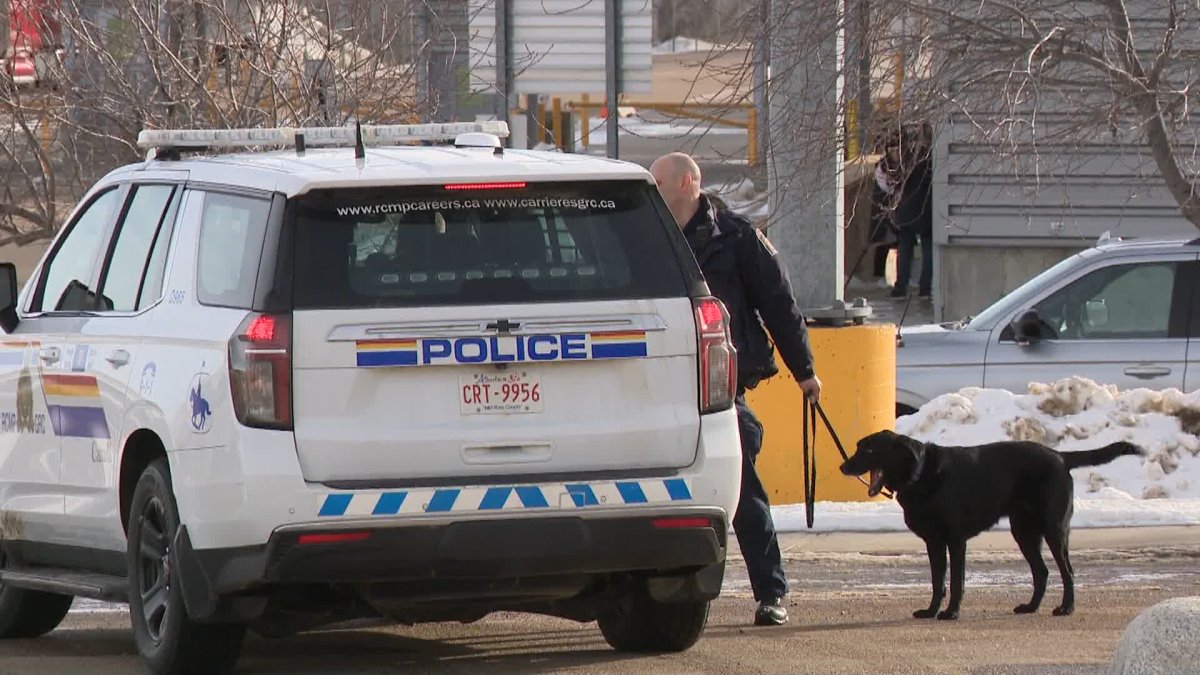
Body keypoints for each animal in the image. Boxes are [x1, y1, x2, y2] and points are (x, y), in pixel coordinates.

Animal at [840, 427, 1137, 619]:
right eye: (858, 446)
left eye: (868, 449)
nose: (843, 467)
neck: (920, 472)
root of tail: (1060, 457)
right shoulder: (934, 542)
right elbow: (938, 581)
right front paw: (931, 611)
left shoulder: (955, 540)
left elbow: (956, 581)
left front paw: (951, 613)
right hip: (1024, 532)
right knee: (1042, 572)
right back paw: (1030, 607)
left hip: (1054, 529)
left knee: (1068, 571)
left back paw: (1066, 609)